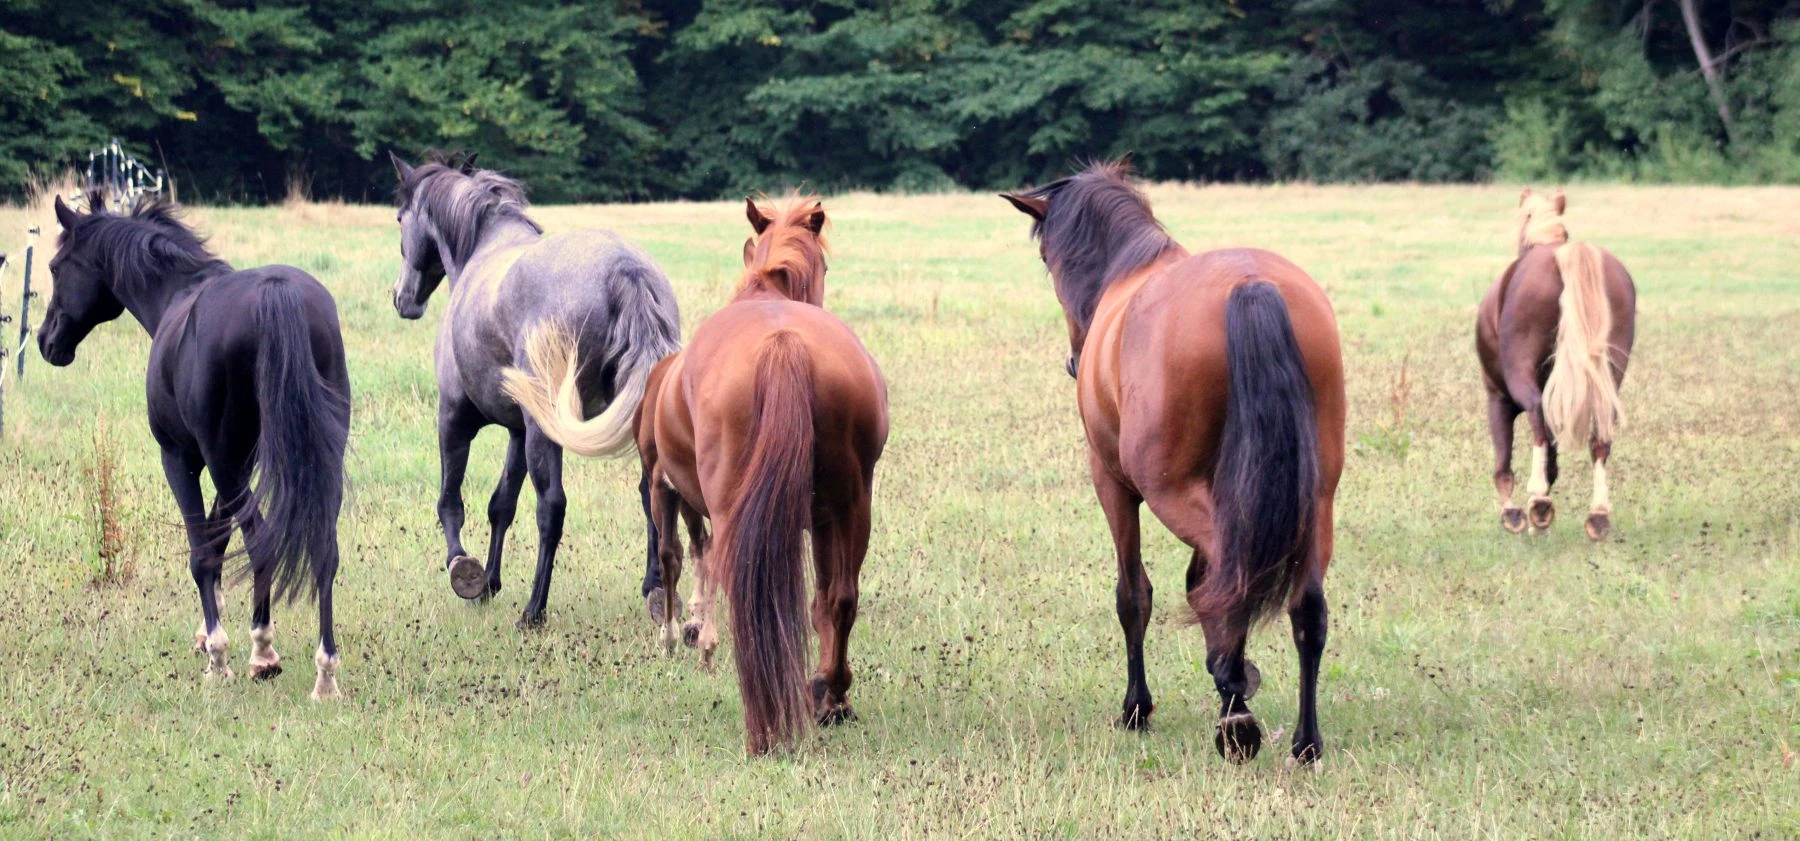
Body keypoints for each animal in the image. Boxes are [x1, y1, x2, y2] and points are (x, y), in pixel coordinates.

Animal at [40, 190, 349, 698]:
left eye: (54, 267)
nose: (47, 341)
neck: (176, 295)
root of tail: (276, 291)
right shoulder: (239, 463)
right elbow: (218, 541)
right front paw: (208, 633)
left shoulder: (183, 458)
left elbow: (201, 553)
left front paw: (217, 653)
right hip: (312, 459)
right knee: (323, 546)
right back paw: (325, 675)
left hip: (221, 461)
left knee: (260, 541)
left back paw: (261, 652)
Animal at [388, 151, 680, 630]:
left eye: (399, 218)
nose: (403, 299)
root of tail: (625, 270)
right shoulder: (518, 431)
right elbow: (501, 504)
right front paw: (488, 583)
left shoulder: (454, 418)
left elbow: (451, 501)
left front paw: (463, 570)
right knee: (650, 492)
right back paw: (655, 592)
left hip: (545, 432)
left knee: (551, 507)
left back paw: (534, 611)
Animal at [619, 197, 885, 756]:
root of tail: (783, 343)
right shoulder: (822, 518)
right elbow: (822, 601)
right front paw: (826, 691)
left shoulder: (667, 491)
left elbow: (677, 560)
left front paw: (681, 636)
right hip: (853, 506)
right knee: (841, 598)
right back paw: (831, 694)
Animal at [1008, 161, 1346, 767]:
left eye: (1046, 256)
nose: (1073, 361)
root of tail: (1250, 284)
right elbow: (1193, 580)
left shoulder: (1112, 483)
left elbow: (1133, 594)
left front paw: (1137, 708)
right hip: (1314, 498)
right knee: (1302, 605)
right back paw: (1302, 740)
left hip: (1167, 488)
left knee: (1228, 579)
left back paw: (1235, 706)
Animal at [1483, 188, 1641, 543]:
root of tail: (1564, 255)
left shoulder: (1497, 397)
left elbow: (1503, 463)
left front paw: (1514, 514)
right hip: (1608, 374)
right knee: (1600, 437)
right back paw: (1597, 515)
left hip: (1520, 382)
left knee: (1537, 417)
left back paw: (1537, 502)